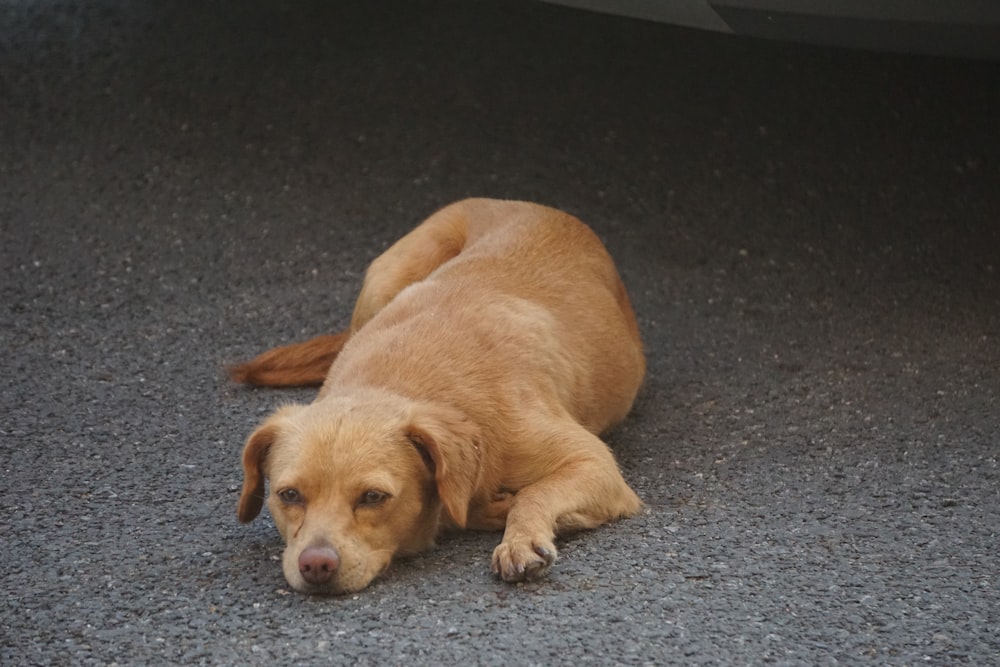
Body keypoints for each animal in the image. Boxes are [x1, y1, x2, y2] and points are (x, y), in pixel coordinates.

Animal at [230, 197, 644, 596]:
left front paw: (519, 537)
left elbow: (534, 493)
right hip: (385, 281)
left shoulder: (594, 464)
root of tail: (518, 202)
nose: (316, 565)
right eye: (289, 495)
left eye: (373, 497)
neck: (396, 378)